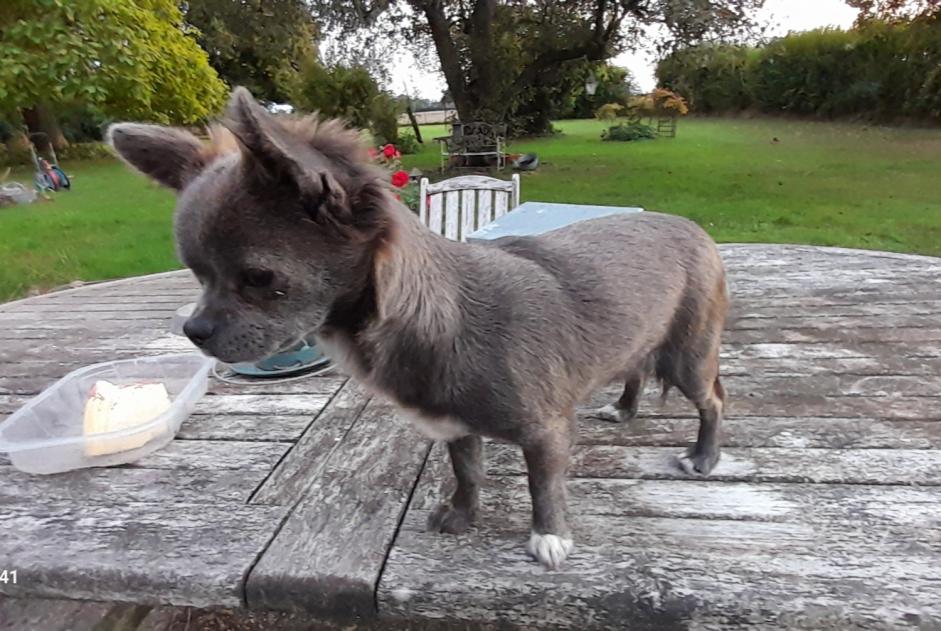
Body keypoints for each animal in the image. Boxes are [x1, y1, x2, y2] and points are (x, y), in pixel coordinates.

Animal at [108, 87, 728, 568]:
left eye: (259, 278)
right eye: (197, 275)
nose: (193, 331)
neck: (443, 315)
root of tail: (692, 226)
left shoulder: (546, 432)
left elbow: (542, 484)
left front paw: (549, 537)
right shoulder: (455, 427)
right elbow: (468, 471)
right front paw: (462, 515)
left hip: (689, 356)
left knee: (712, 401)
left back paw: (703, 457)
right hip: (642, 340)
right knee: (636, 370)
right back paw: (624, 409)